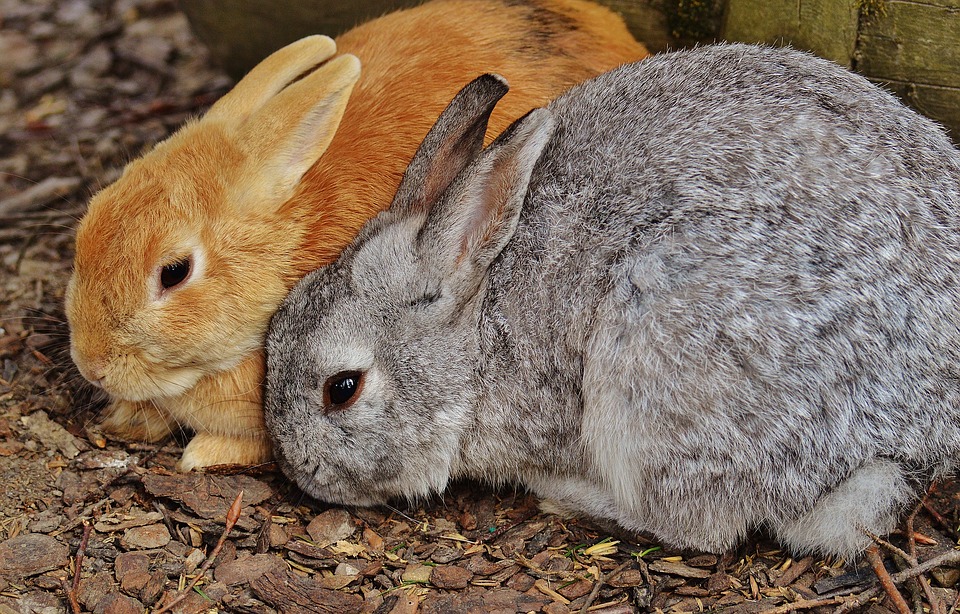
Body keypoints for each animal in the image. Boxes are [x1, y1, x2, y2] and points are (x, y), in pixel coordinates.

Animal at [67, 0, 648, 472]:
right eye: (90, 218)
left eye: (174, 272)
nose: (92, 366)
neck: (288, 245)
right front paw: (128, 418)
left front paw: (202, 453)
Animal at [260, 44, 960, 560]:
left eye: (342, 388)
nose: (297, 471)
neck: (478, 332)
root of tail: (915, 437)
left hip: (660, 349)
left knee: (697, 526)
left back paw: (565, 495)